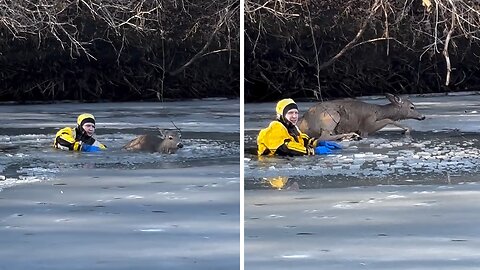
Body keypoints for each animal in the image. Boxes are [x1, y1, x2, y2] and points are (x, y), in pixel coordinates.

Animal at [298, 93, 426, 140]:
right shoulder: (367, 125)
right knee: (323, 137)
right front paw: (407, 129)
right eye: (412, 107)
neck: (379, 111)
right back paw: (351, 135)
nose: (423, 116)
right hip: (330, 117)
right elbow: (388, 119)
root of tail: (303, 120)